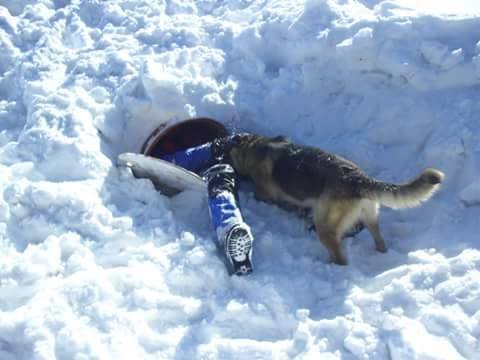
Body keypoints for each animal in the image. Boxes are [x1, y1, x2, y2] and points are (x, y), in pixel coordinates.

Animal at [227, 134, 444, 264]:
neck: (252, 146)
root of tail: (359, 178)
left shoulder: (264, 195)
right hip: (370, 218)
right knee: (379, 240)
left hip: (325, 227)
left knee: (339, 257)